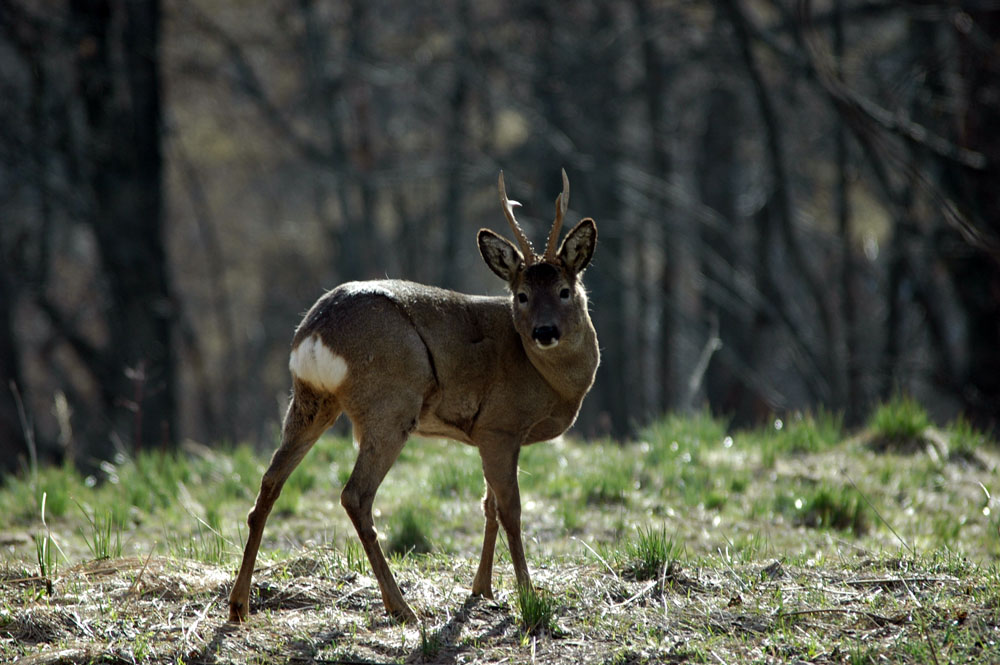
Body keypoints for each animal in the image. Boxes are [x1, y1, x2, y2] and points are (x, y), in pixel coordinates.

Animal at [230, 170, 596, 624]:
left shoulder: (487, 434)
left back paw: (239, 604)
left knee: (269, 484)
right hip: (390, 404)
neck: (549, 380)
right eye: (522, 295)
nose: (544, 332)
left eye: (565, 290)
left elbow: (487, 506)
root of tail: (314, 332)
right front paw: (529, 595)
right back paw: (401, 606)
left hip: (310, 400)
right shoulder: (500, 425)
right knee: (355, 495)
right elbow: (509, 510)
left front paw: (482, 589)